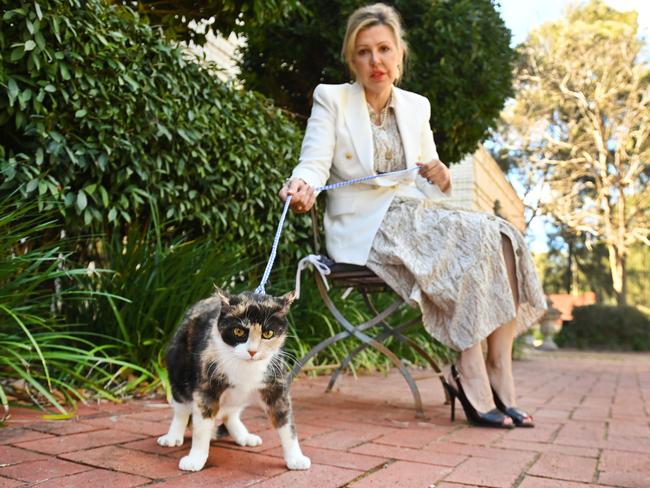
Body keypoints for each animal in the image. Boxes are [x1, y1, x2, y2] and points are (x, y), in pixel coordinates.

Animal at [156, 288, 310, 470]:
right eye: (238, 331)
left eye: (268, 333)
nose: (252, 351)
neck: (245, 367)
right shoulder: (206, 386)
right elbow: (201, 427)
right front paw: (195, 458)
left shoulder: (276, 384)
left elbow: (286, 422)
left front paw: (296, 458)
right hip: (178, 369)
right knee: (181, 408)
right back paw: (172, 436)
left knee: (231, 413)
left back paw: (244, 435)